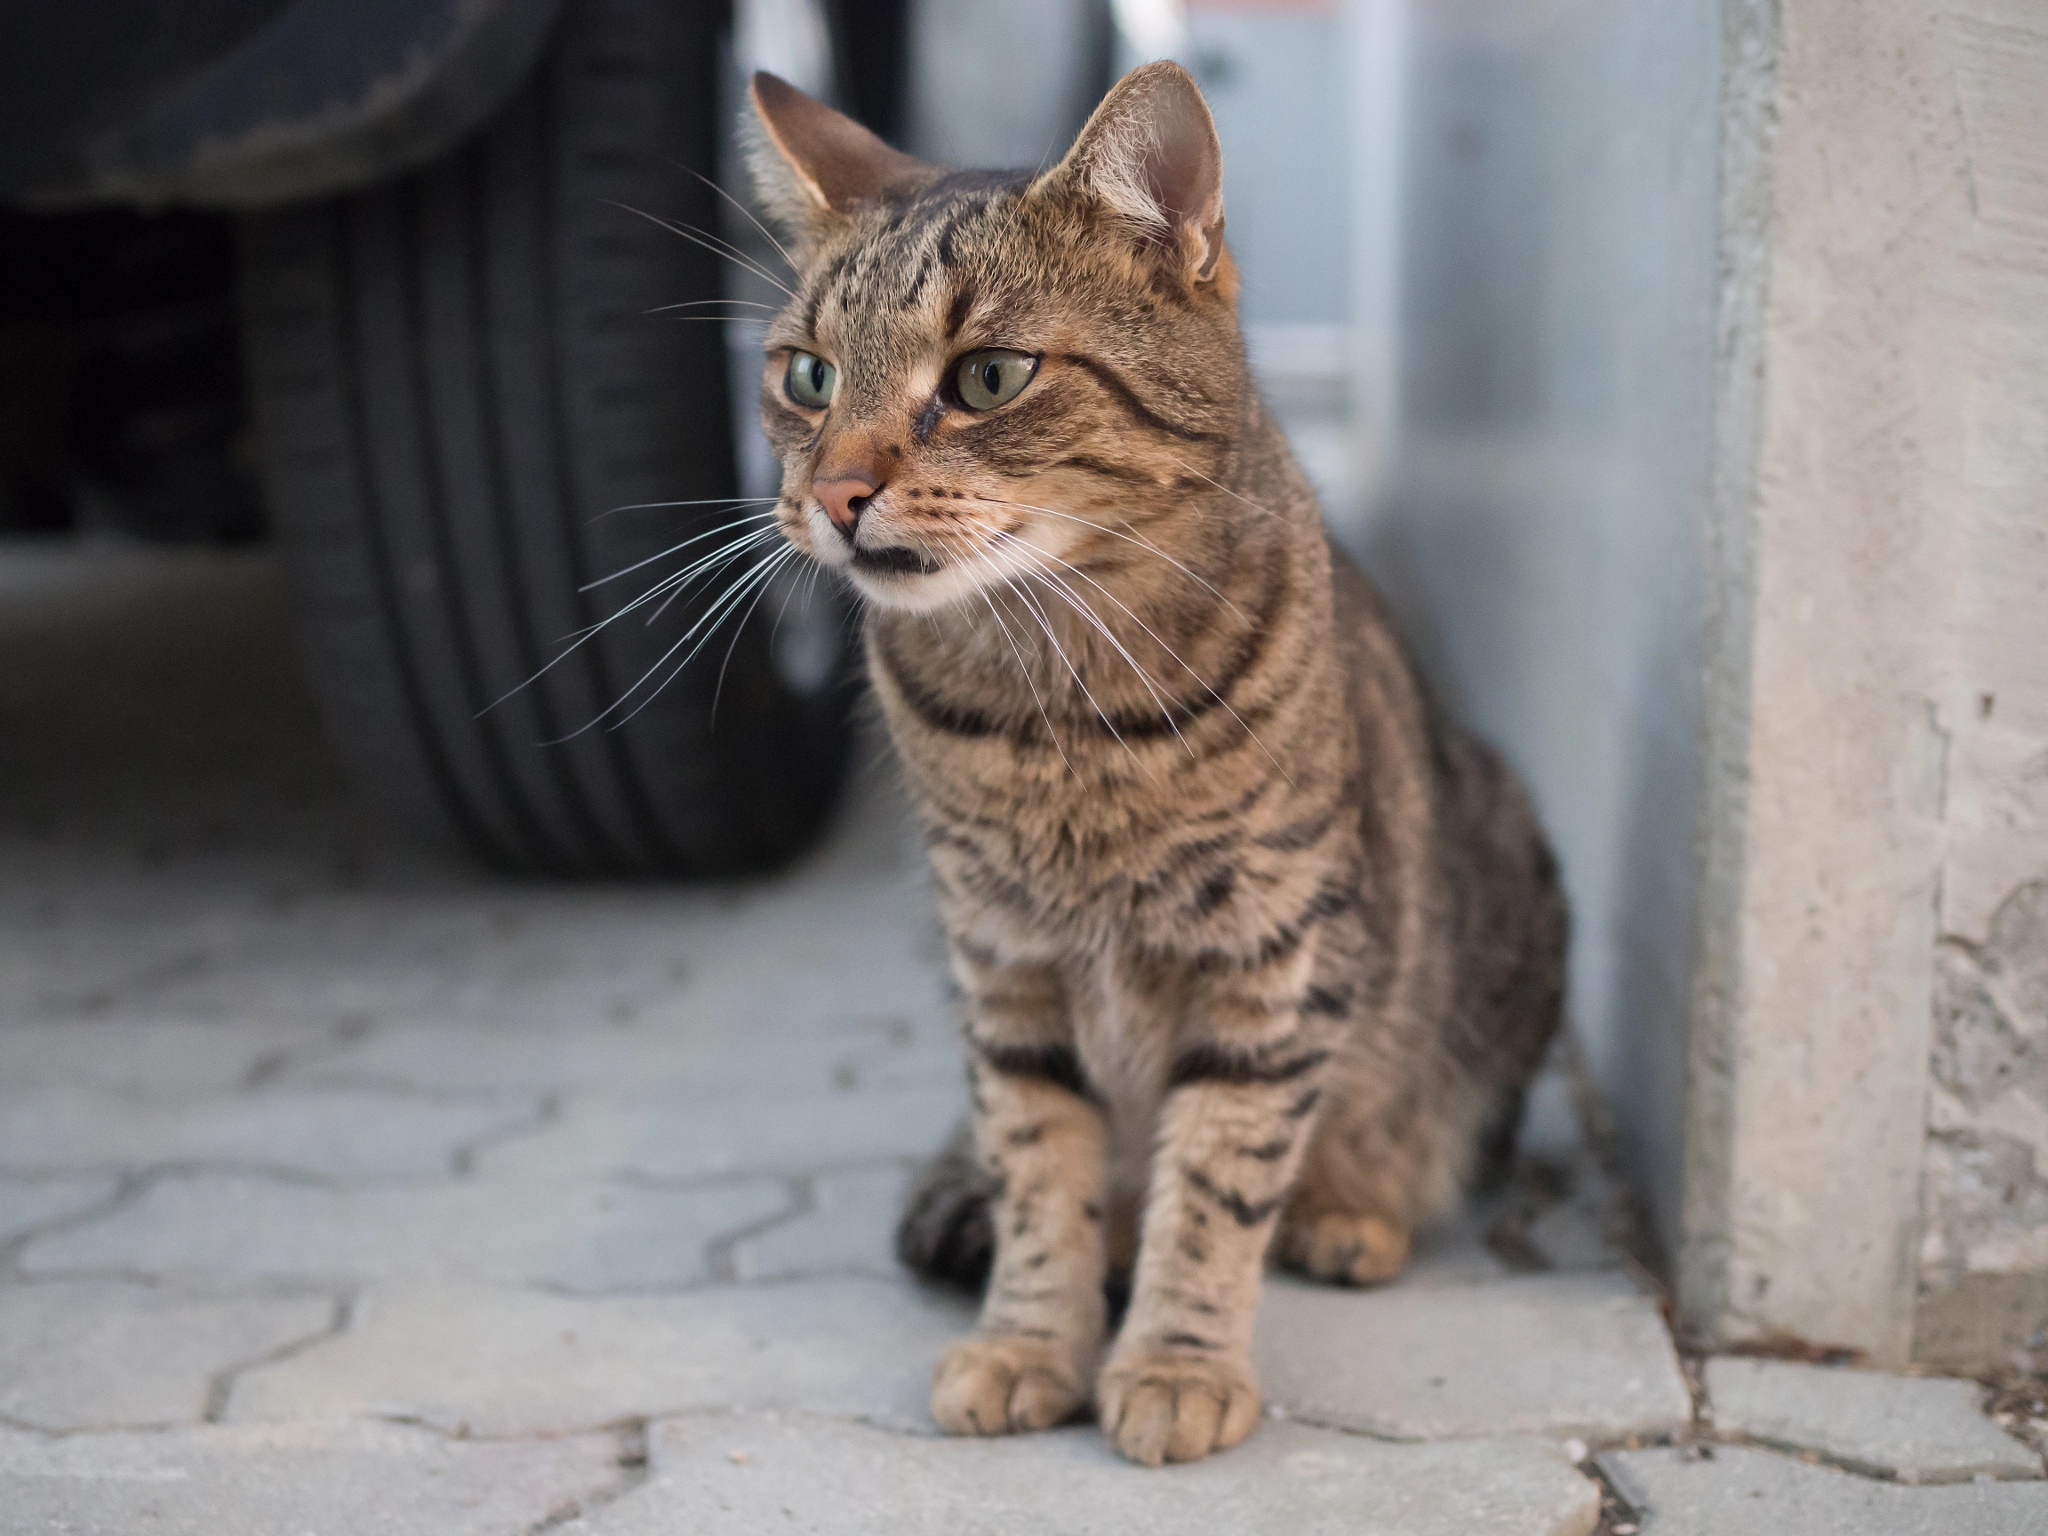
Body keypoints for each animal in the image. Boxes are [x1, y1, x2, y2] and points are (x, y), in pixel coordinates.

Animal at [753, 66, 1564, 1474]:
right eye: (806, 376)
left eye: (988, 376)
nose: (835, 493)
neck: (1049, 708)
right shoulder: (1003, 966)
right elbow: (1035, 1167)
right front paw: (1032, 1339)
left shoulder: (1272, 961)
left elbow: (1218, 1182)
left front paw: (1178, 1362)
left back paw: (1346, 1212)